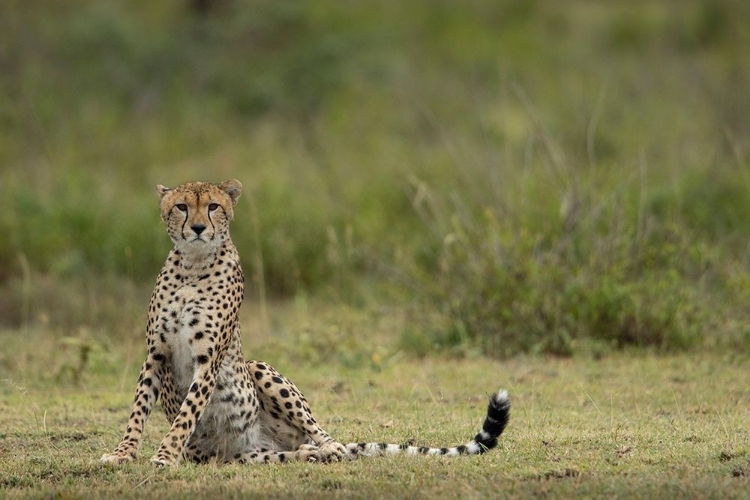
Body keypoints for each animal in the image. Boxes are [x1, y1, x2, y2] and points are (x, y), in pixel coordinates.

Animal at [100, 181, 512, 468]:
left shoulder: (209, 359)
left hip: (259, 368)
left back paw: (330, 449)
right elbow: (138, 408)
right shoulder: (155, 353)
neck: (192, 265)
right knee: (285, 454)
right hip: (248, 455)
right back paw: (308, 456)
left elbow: (186, 415)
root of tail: (256, 444)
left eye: (214, 206)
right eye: (182, 206)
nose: (199, 227)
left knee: (323, 434)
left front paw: (165, 455)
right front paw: (123, 454)